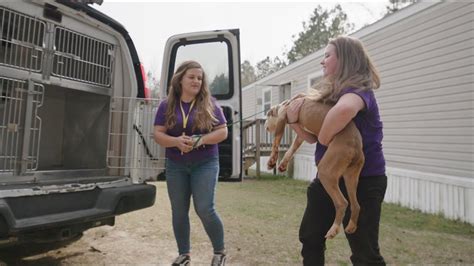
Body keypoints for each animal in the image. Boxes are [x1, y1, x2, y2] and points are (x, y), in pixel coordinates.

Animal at [264, 94, 364, 239]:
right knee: (356, 205)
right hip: (351, 177)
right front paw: (282, 164)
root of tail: (356, 146)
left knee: (342, 203)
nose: (265, 125)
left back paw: (333, 230)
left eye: (267, 117)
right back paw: (351, 226)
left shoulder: (283, 118)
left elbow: (275, 142)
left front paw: (272, 161)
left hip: (326, 172)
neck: (286, 104)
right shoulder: (302, 135)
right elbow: (291, 149)